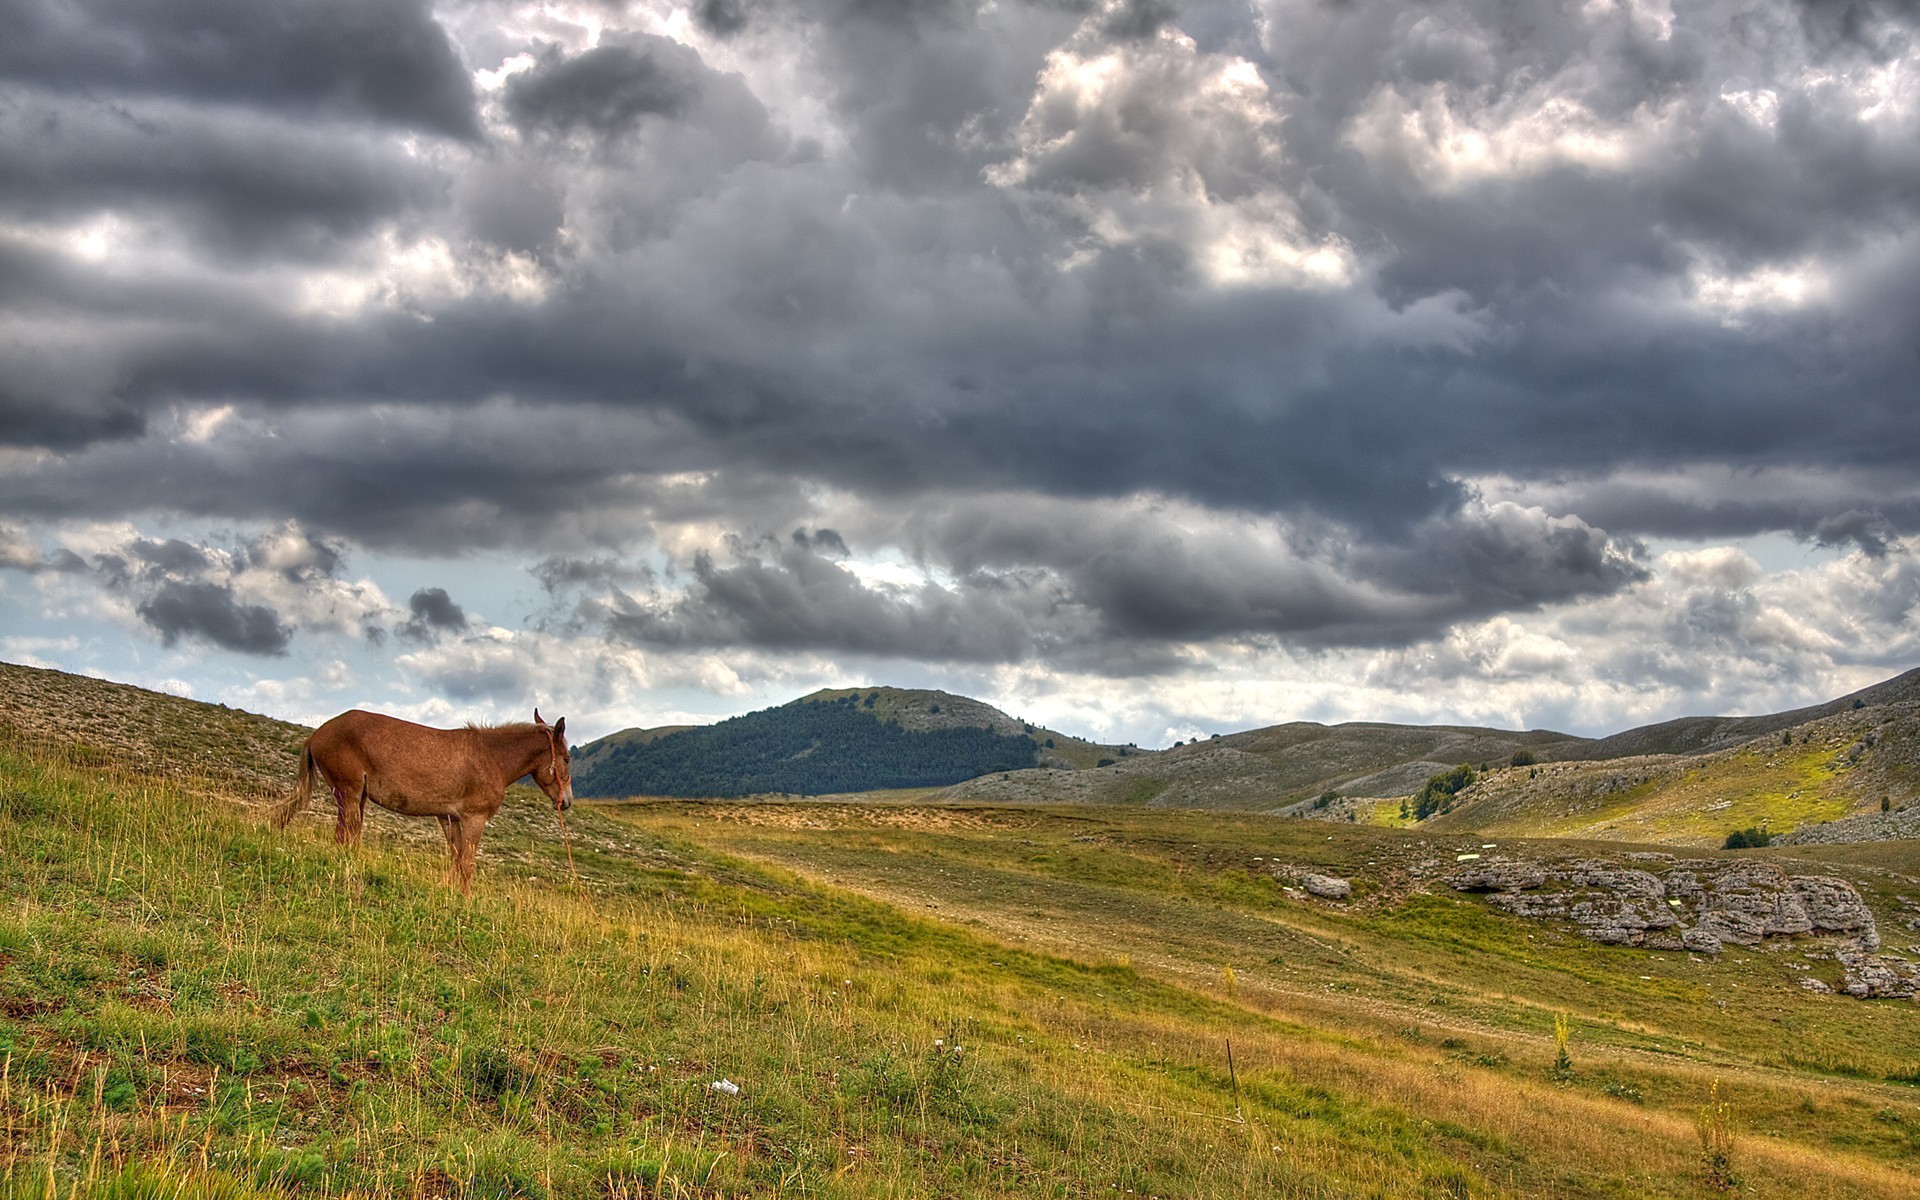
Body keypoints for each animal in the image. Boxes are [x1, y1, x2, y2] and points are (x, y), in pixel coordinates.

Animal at [272, 708, 573, 894]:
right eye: (567, 758)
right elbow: (467, 863)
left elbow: (455, 858)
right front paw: (466, 899)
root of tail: (318, 733)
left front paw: (450, 892)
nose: (566, 802)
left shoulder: (450, 818)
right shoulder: (473, 819)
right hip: (350, 794)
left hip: (354, 798)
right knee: (346, 836)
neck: (491, 757)